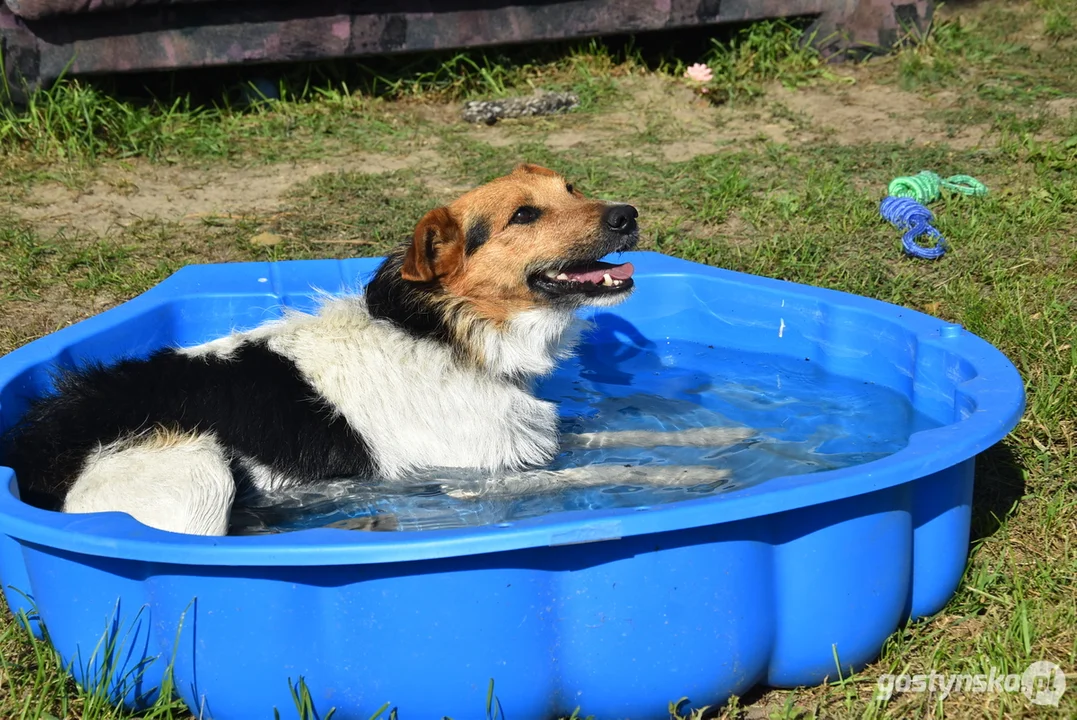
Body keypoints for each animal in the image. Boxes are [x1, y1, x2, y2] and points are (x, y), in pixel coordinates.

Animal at [0, 164, 745, 533]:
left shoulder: (520, 437)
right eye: (524, 216)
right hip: (192, 470)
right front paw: (692, 479)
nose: (628, 215)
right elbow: (603, 469)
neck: (448, 333)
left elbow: (602, 438)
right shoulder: (475, 475)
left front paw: (723, 437)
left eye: (572, 190)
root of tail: (33, 452)